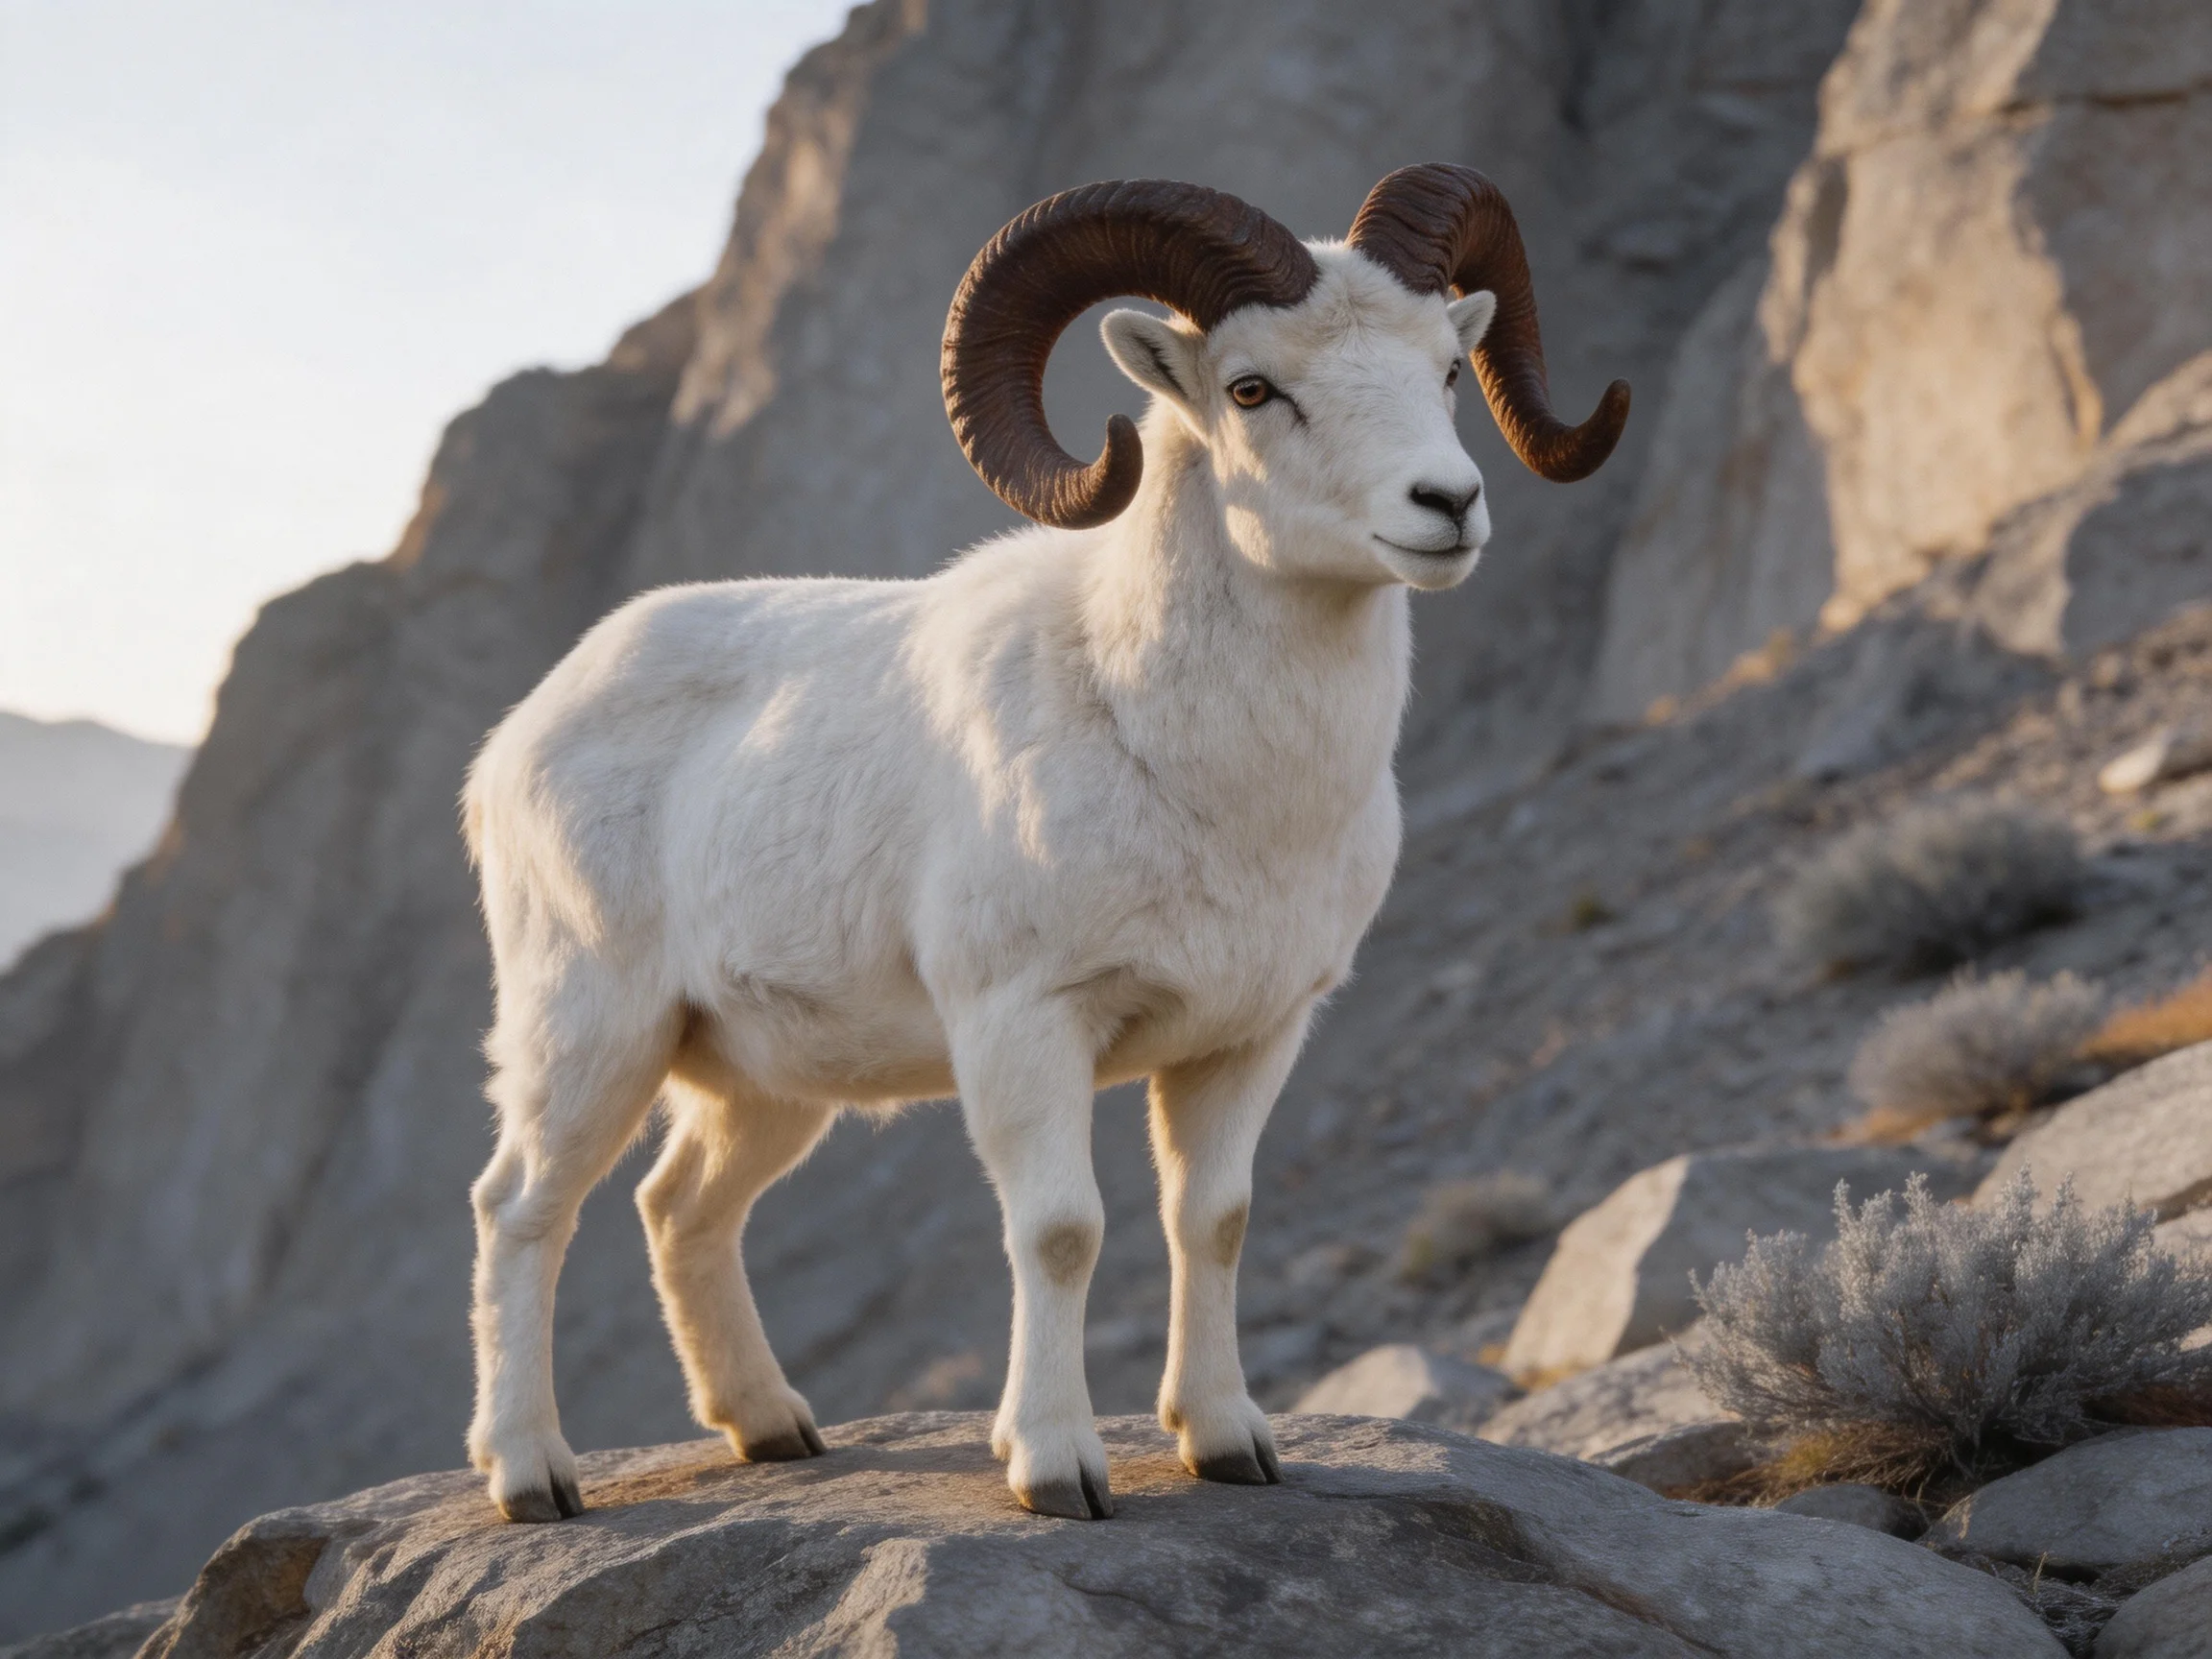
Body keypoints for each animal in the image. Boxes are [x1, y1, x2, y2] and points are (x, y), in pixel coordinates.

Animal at [464, 165, 1628, 1522]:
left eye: (1447, 366)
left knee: (680, 1210)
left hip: (762, 1084)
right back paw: (532, 1478)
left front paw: (1228, 1444)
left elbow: (1212, 1221)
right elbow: (1062, 1231)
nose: (1448, 507)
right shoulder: (1026, 1024)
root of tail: (518, 739)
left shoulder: (1249, 1038)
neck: (1201, 773)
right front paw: (1056, 1468)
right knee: (523, 1210)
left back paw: (773, 1431)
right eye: (1252, 388)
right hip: (592, 1037)